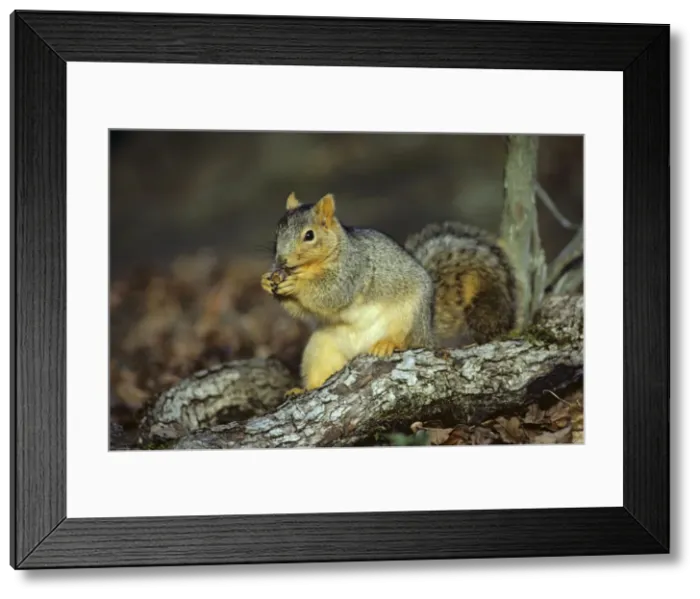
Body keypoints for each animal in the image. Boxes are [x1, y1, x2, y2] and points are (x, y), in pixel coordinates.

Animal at [261, 192, 519, 396]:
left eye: (309, 235)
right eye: (277, 233)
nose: (281, 261)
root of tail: (428, 331)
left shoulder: (353, 272)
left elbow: (331, 293)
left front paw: (296, 285)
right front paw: (267, 281)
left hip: (408, 318)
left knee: (405, 340)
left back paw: (387, 344)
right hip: (321, 347)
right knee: (320, 371)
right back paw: (304, 389)